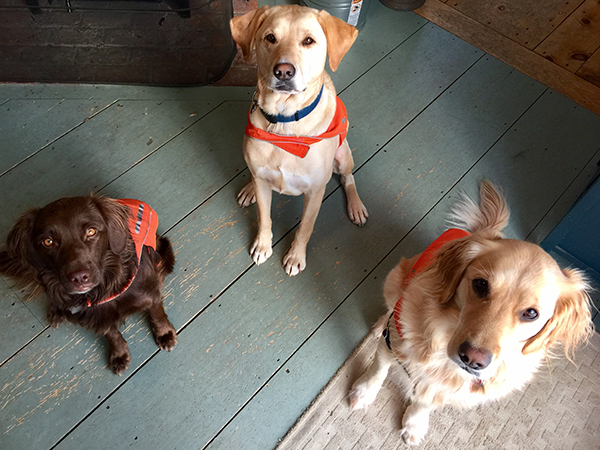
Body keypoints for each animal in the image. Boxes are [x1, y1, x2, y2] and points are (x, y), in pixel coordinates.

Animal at [0, 195, 177, 374]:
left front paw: (165, 334)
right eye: (48, 241)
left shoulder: (150, 294)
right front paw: (119, 355)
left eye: (91, 231)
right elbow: (112, 335)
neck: (103, 289)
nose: (78, 277)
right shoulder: (97, 318)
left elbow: (157, 314)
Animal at [231, 5, 368, 276]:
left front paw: (295, 256)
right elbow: (264, 217)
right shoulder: (263, 182)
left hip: (343, 155)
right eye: (270, 37)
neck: (284, 124)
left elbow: (305, 227)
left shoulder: (315, 193)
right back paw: (249, 188)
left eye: (308, 41)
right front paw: (263, 245)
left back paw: (356, 205)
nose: (284, 71)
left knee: (348, 178)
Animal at [350, 181, 592, 444]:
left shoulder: (450, 388)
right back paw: (377, 327)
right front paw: (364, 392)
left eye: (531, 313)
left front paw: (415, 424)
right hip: (394, 279)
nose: (473, 359)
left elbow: (425, 402)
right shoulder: (392, 344)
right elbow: (378, 369)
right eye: (480, 284)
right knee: (389, 310)